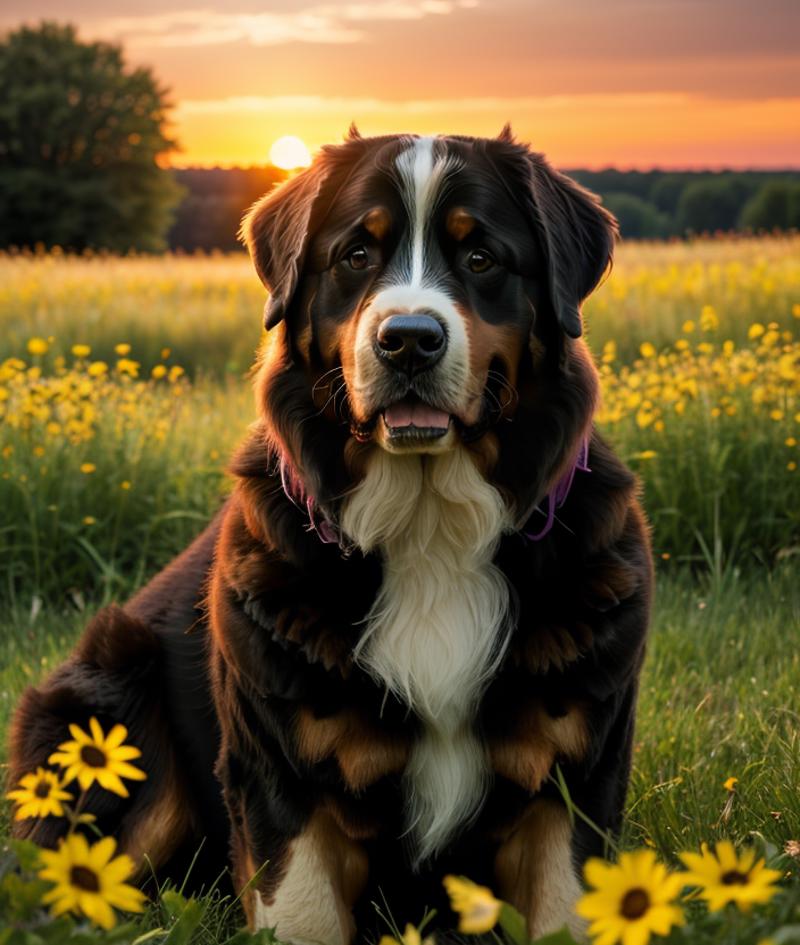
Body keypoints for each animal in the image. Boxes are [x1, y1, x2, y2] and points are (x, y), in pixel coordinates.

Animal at [9, 127, 652, 944]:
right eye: (356, 255)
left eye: (481, 257)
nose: (408, 340)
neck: (427, 530)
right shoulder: (283, 778)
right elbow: (306, 910)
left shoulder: (572, 781)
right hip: (118, 712)